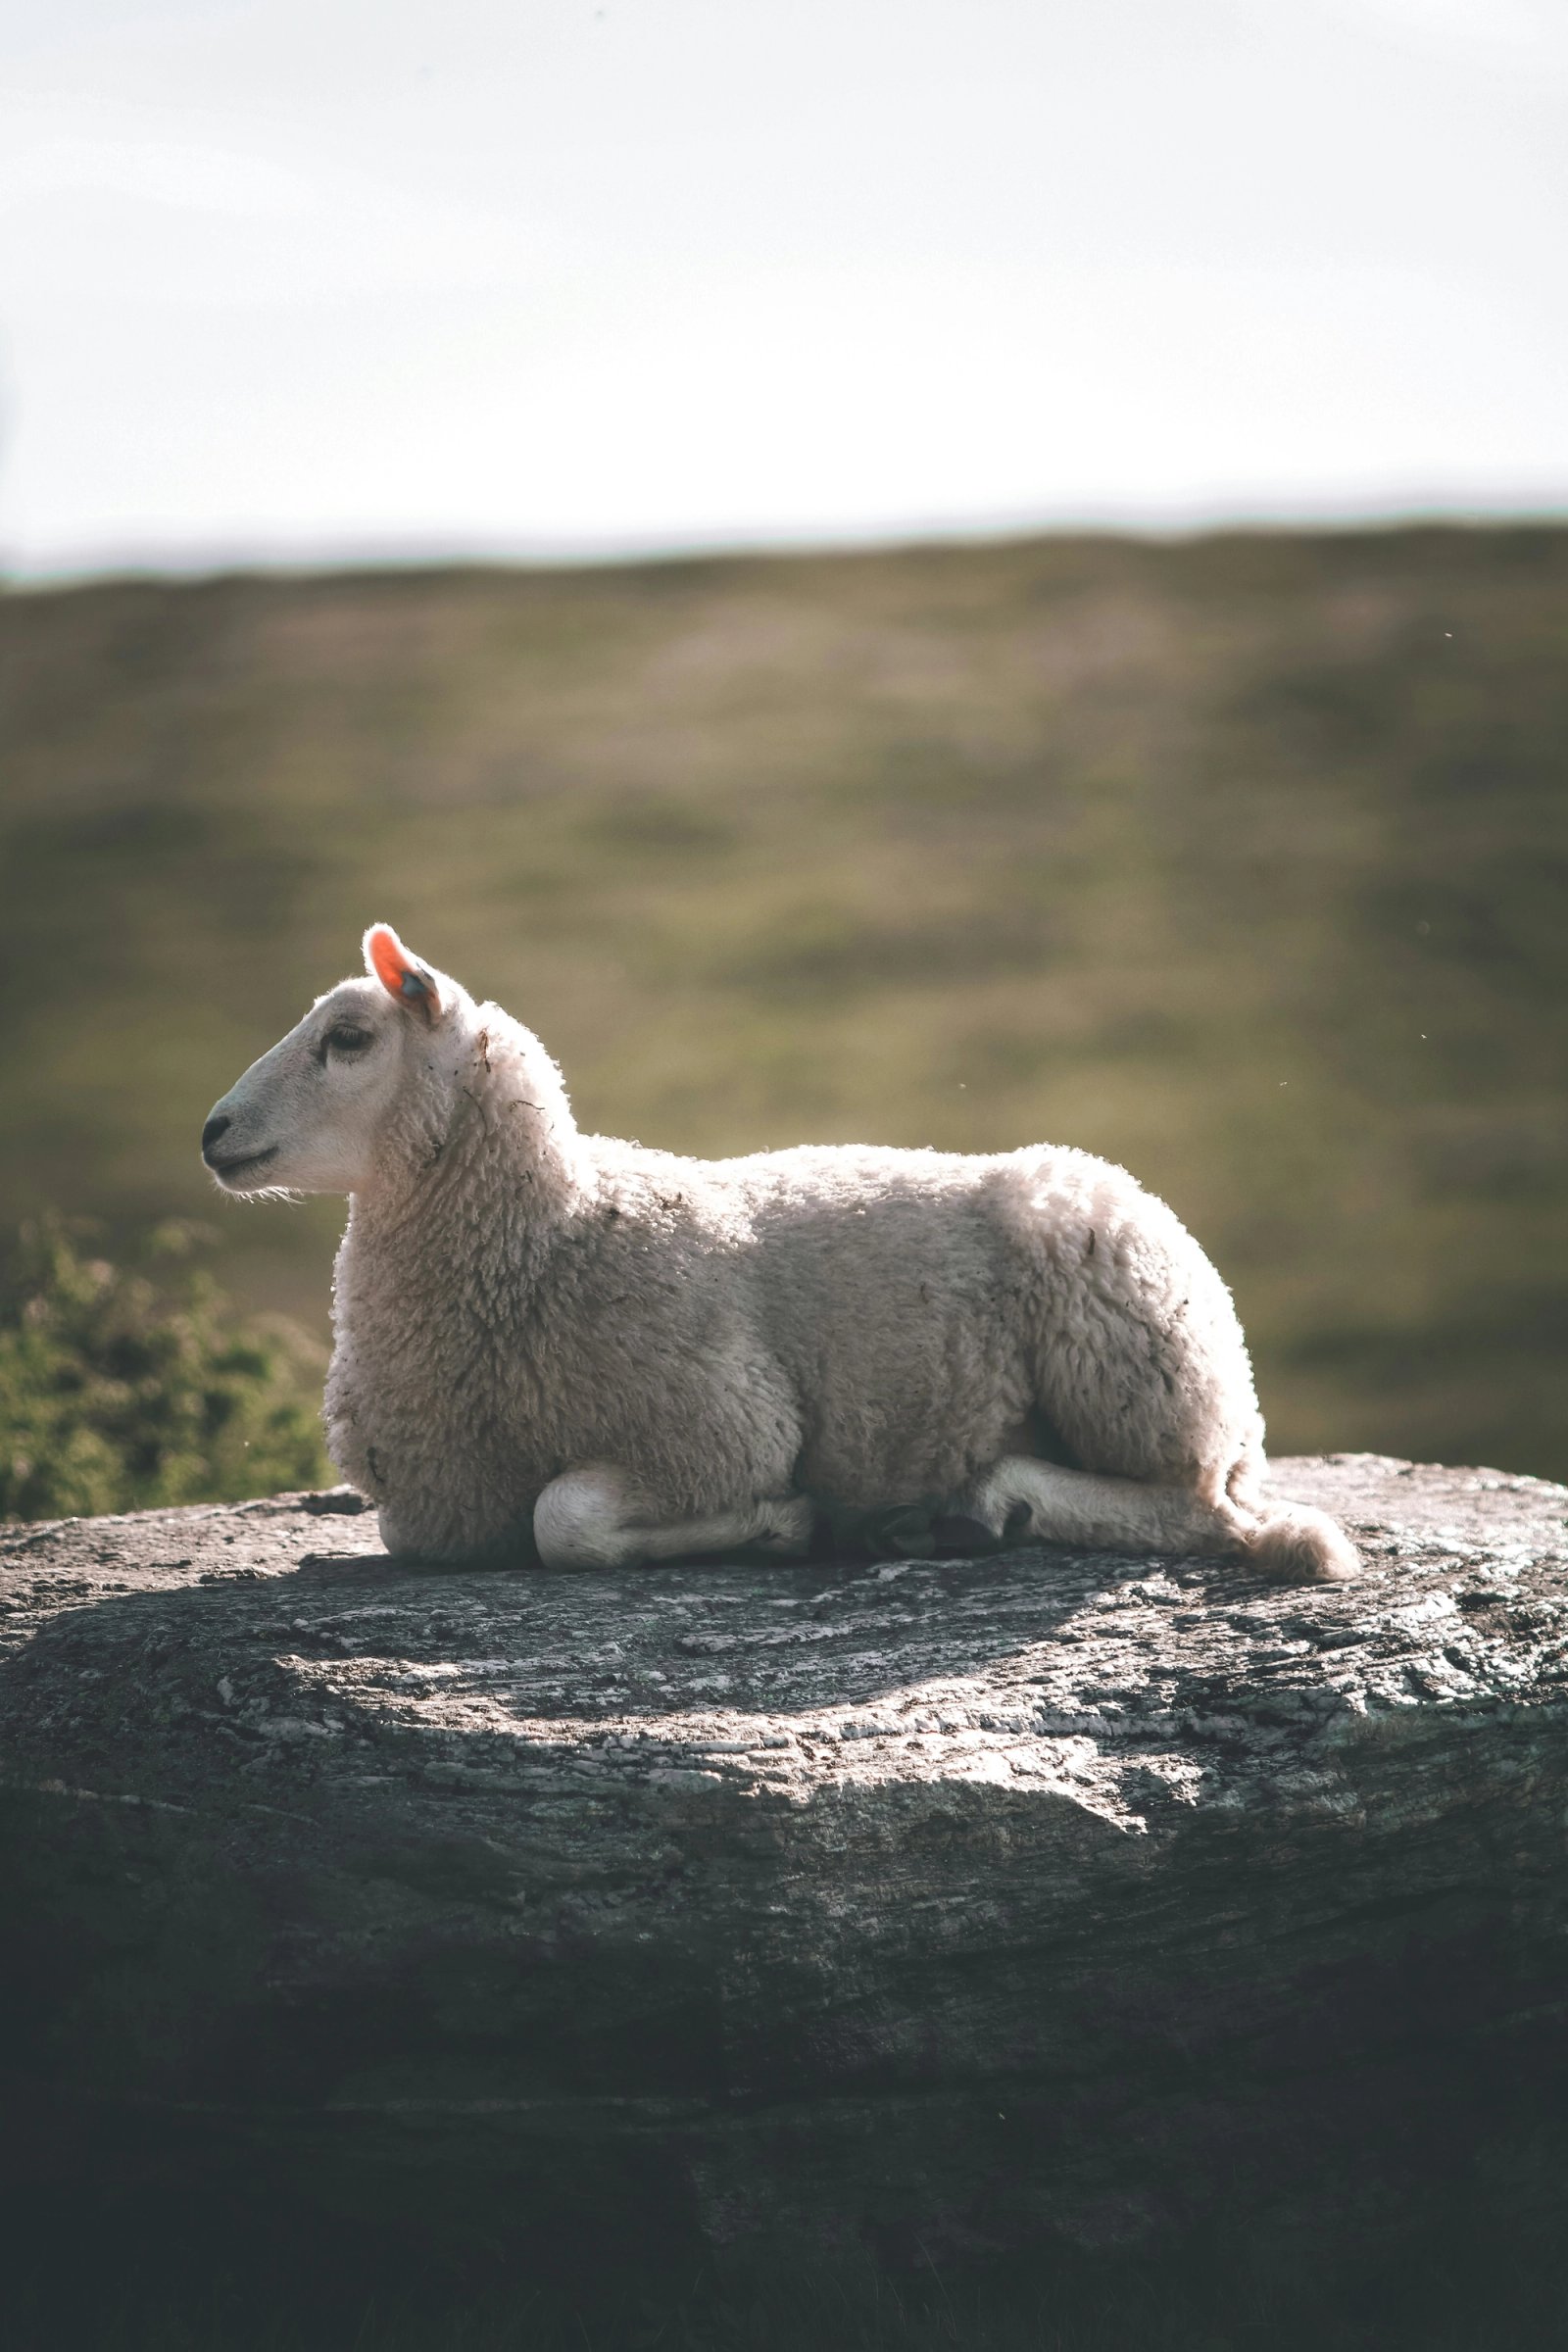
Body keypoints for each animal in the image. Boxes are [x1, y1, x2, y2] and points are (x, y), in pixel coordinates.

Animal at [200, 924, 1359, 1583]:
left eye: (348, 1040)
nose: (211, 1133)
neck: (554, 1233)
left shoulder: (719, 1430)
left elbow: (564, 1520)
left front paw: (776, 1527)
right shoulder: (437, 1508)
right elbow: (457, 1533)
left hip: (1138, 1368)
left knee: (1206, 1512)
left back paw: (988, 1505)